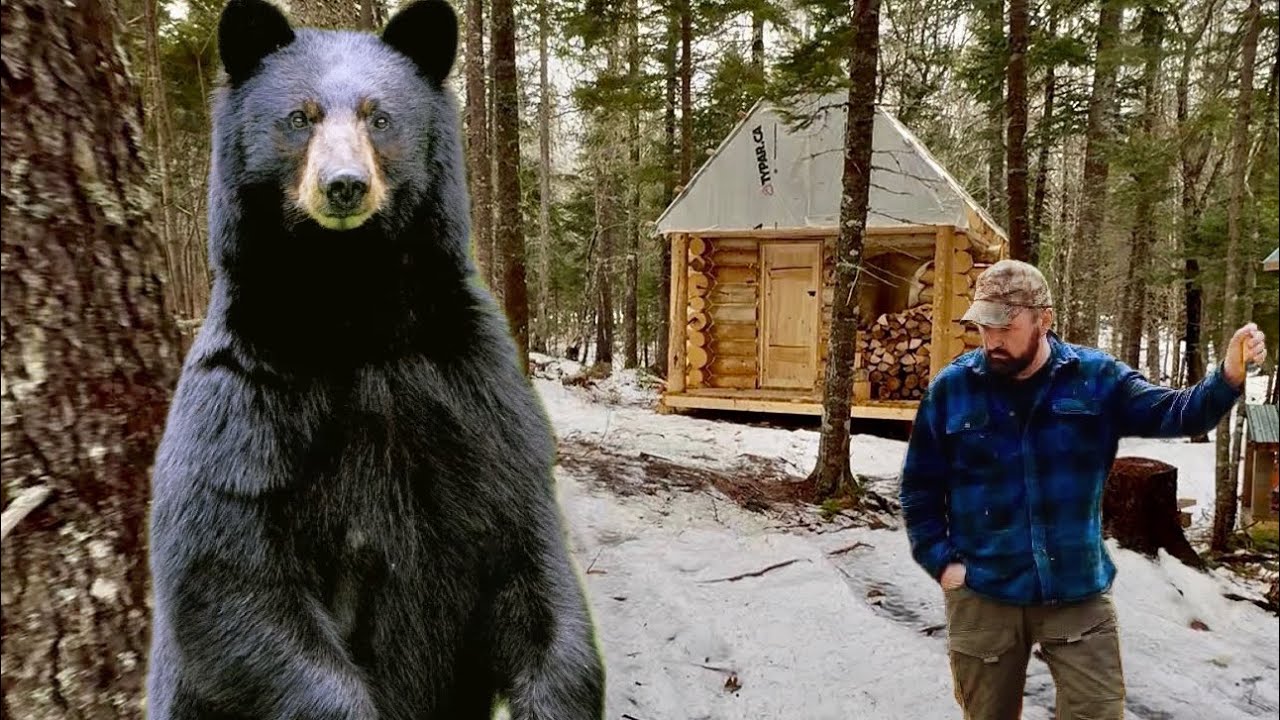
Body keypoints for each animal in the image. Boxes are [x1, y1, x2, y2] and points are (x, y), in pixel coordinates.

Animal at [144, 1, 606, 718]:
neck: (356, 314)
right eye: (299, 117)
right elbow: (227, 572)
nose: (344, 186)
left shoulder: (473, 387)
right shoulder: (245, 399)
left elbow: (527, 554)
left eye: (379, 116)